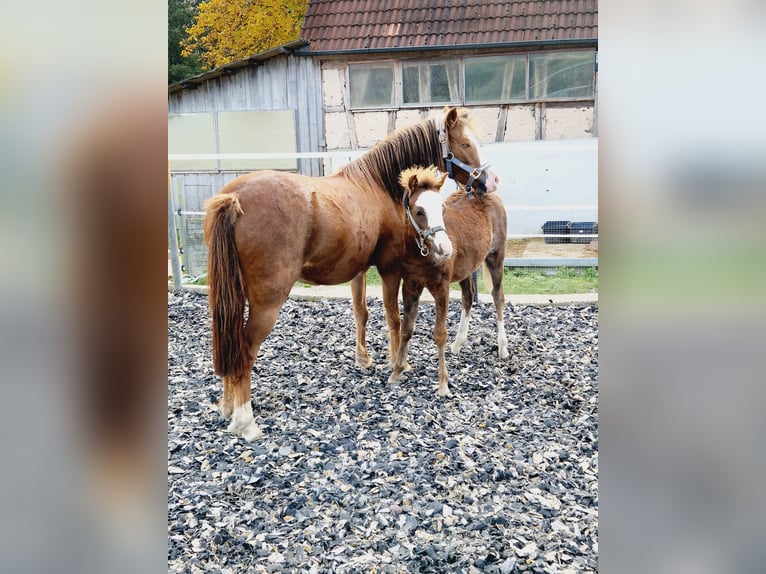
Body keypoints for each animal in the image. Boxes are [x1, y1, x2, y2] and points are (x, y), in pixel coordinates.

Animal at [354, 165, 510, 400]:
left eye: (442, 210)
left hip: (496, 257)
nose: (446, 248)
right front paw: (396, 373)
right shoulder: (411, 285)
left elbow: (439, 334)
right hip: (466, 268)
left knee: (497, 296)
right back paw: (458, 343)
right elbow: (406, 328)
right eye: (419, 211)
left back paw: (502, 348)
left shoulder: (441, 288)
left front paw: (443, 384)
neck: (422, 254)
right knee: (468, 296)